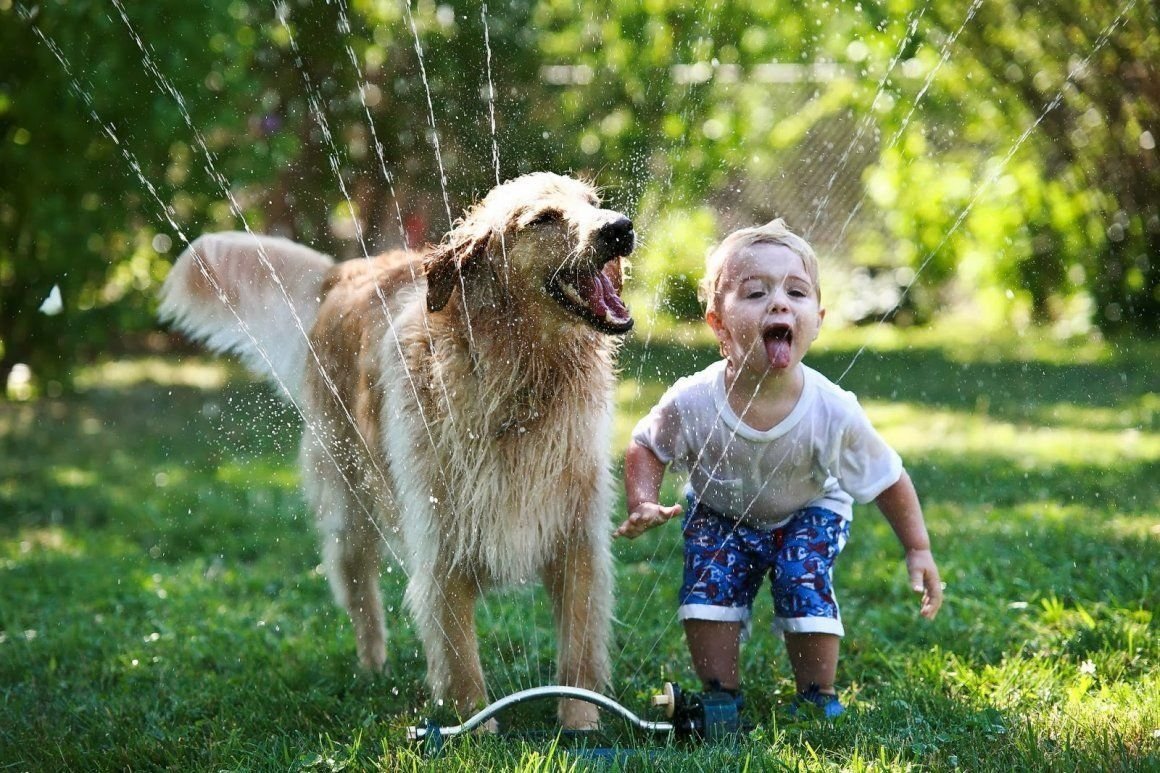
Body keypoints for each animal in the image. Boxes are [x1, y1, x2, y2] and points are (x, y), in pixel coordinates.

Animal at [156, 171, 635, 724]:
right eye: (543, 218)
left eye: (594, 203)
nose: (620, 227)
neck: (519, 381)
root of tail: (344, 271)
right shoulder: (440, 540)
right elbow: (459, 657)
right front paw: (475, 726)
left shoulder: (578, 537)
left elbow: (578, 648)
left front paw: (581, 722)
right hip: (349, 501)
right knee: (359, 590)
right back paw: (373, 667)